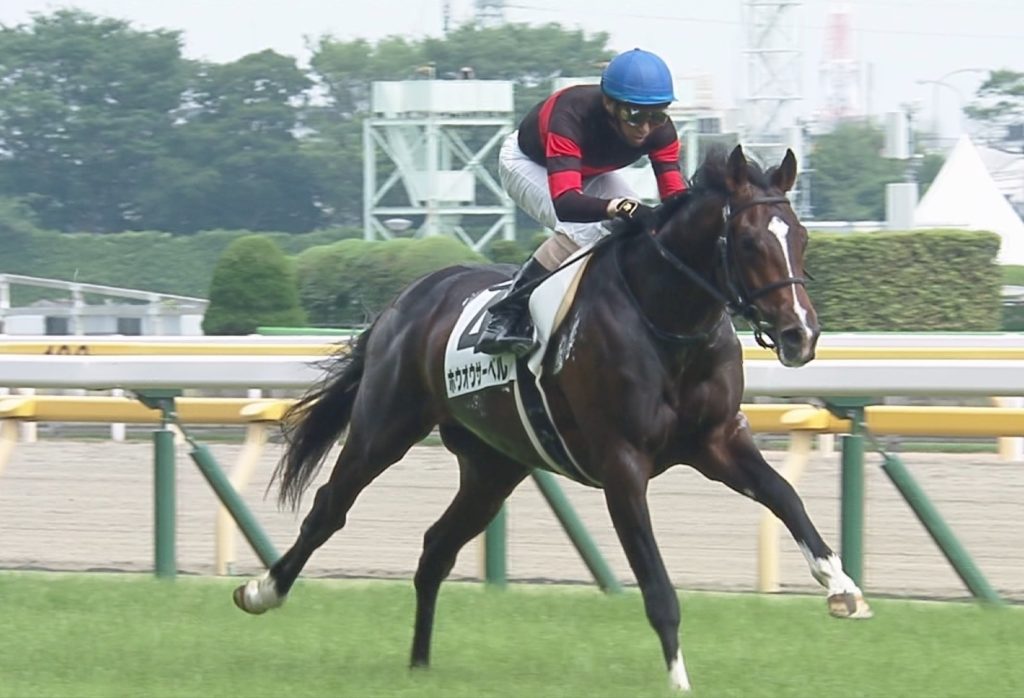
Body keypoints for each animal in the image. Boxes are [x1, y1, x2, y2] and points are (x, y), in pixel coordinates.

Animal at [234, 144, 872, 687]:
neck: (665, 321)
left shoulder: (717, 440)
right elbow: (657, 586)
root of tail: (406, 298)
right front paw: (679, 680)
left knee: (437, 546)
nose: (801, 335)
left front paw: (843, 587)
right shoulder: (622, 465)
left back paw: (419, 664)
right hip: (385, 427)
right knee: (329, 508)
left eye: (802, 238)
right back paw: (262, 591)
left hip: (493, 466)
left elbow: (785, 496)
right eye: (747, 242)